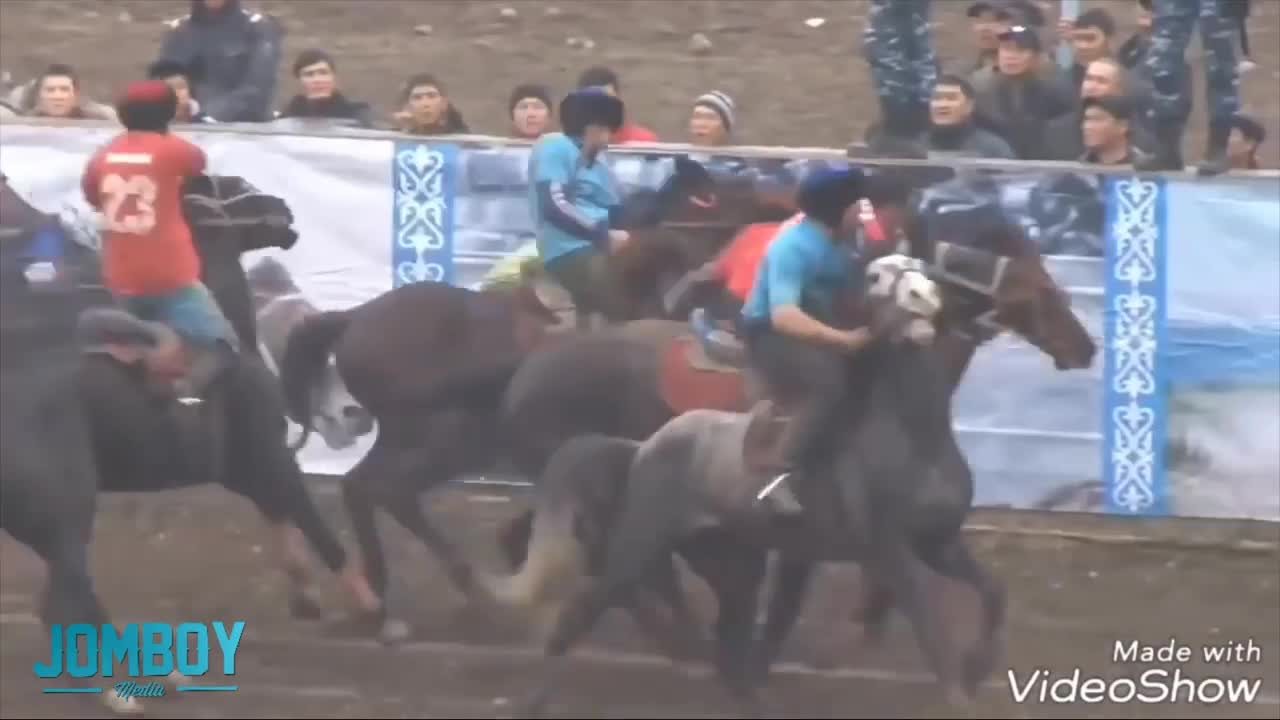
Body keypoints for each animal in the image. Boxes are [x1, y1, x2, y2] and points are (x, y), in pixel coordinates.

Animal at [0, 174, 376, 712]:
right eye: (230, 184)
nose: (283, 209)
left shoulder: (243, 471)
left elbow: (281, 517)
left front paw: (306, 594)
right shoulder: (269, 457)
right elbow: (313, 523)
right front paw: (373, 608)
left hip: (45, 524)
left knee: (73, 599)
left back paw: (150, 677)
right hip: (66, 512)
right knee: (64, 602)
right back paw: (112, 691)